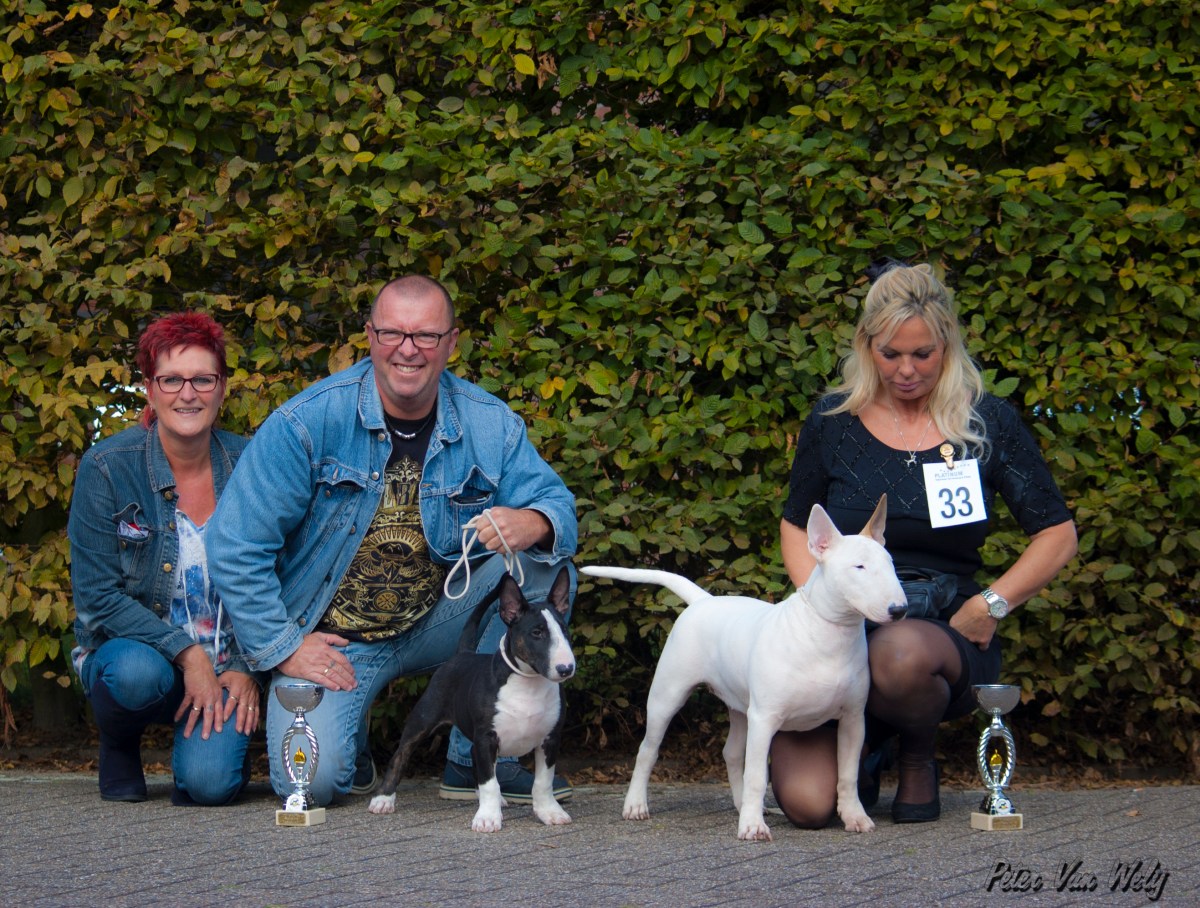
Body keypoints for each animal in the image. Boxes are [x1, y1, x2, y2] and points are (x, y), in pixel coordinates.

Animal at [368, 567, 575, 832]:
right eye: (537, 633)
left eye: (565, 631)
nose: (566, 669)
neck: (528, 684)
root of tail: (463, 653)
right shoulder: (487, 737)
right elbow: (490, 782)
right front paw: (487, 818)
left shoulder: (550, 739)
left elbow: (543, 781)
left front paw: (550, 812)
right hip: (424, 719)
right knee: (400, 755)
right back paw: (383, 799)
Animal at [581, 496, 906, 841]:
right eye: (859, 567)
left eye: (890, 563)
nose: (899, 610)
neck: (827, 634)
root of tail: (704, 600)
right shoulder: (764, 718)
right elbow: (757, 775)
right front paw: (752, 826)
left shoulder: (853, 719)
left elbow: (848, 773)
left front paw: (855, 816)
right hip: (668, 695)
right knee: (648, 749)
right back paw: (636, 805)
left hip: (739, 706)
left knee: (731, 753)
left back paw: (742, 806)